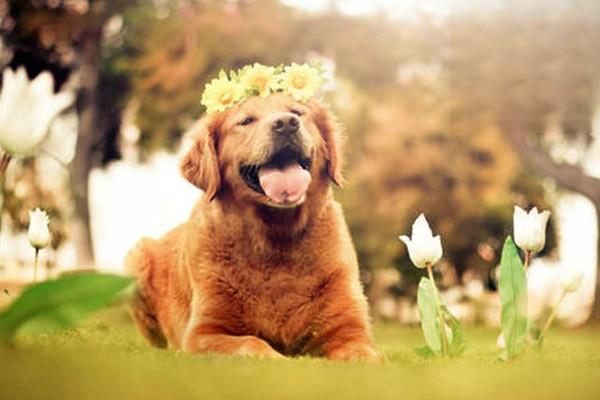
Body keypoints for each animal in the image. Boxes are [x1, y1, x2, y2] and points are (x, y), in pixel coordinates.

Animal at [125, 92, 380, 360]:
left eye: (297, 112)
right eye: (246, 121)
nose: (286, 123)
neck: (276, 240)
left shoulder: (351, 329)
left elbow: (362, 353)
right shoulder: (203, 332)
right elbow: (250, 342)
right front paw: (276, 358)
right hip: (137, 256)